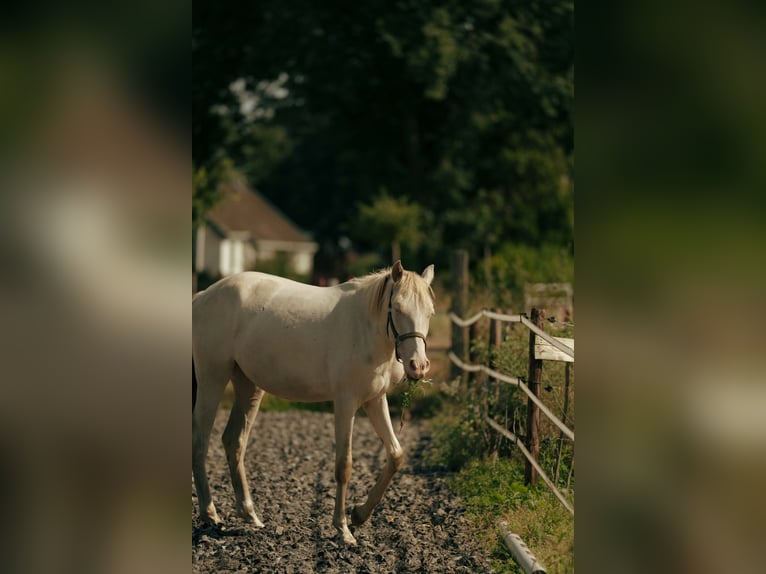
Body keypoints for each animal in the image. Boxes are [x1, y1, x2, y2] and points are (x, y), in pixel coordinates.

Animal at [191, 260, 436, 544]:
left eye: (430, 312)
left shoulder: (375, 400)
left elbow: (395, 455)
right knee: (200, 442)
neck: (365, 328)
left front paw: (359, 515)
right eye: (397, 308)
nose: (418, 366)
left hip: (248, 386)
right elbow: (344, 465)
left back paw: (250, 515)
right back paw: (210, 514)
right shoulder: (346, 403)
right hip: (213, 380)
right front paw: (343, 529)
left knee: (233, 441)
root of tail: (203, 296)